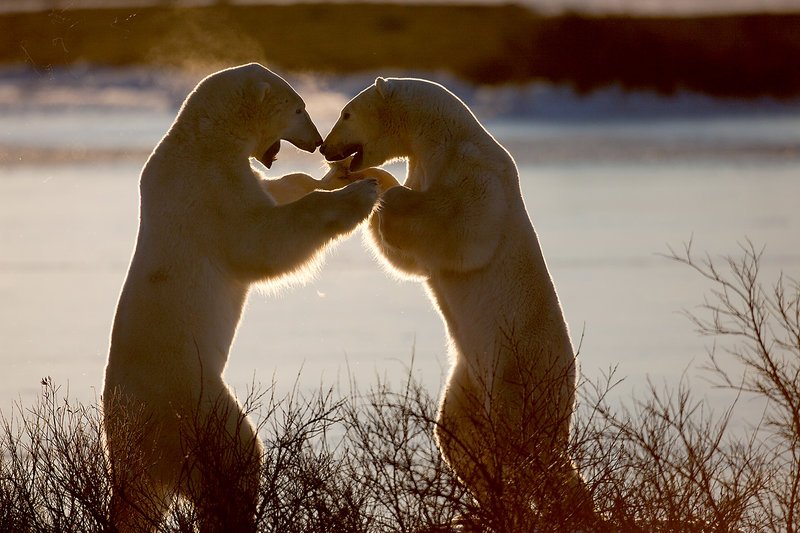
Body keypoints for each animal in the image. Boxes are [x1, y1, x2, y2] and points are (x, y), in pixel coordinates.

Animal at [104, 64, 380, 528]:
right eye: (300, 108)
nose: (318, 142)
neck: (202, 140)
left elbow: (276, 192)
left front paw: (324, 177)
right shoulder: (209, 190)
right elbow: (261, 241)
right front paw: (360, 192)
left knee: (138, 503)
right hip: (194, 406)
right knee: (236, 457)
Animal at [322, 79, 596, 528]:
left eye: (346, 113)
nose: (327, 149)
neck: (444, 137)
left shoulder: (477, 177)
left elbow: (456, 225)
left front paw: (384, 188)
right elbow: (410, 260)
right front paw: (364, 184)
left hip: (519, 371)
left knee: (529, 449)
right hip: (469, 379)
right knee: (458, 437)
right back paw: (494, 503)